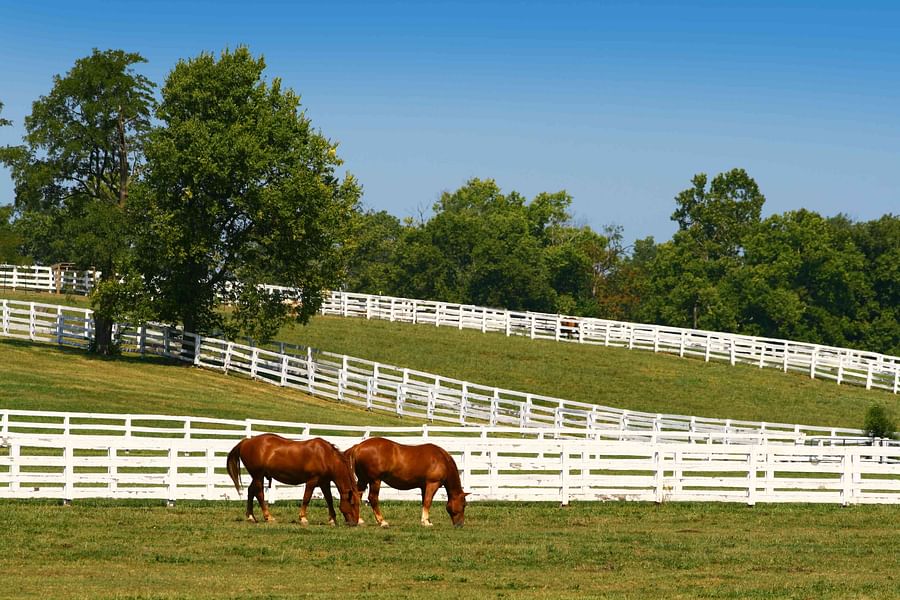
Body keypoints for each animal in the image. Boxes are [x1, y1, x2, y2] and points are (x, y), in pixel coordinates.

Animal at [226, 434, 360, 526]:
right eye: (353, 503)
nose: (355, 522)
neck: (325, 456)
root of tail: (247, 441)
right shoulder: (312, 481)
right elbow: (306, 498)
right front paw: (303, 518)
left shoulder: (324, 483)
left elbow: (329, 500)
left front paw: (332, 519)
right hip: (258, 476)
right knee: (259, 494)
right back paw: (268, 516)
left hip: (257, 476)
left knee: (250, 491)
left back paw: (251, 517)